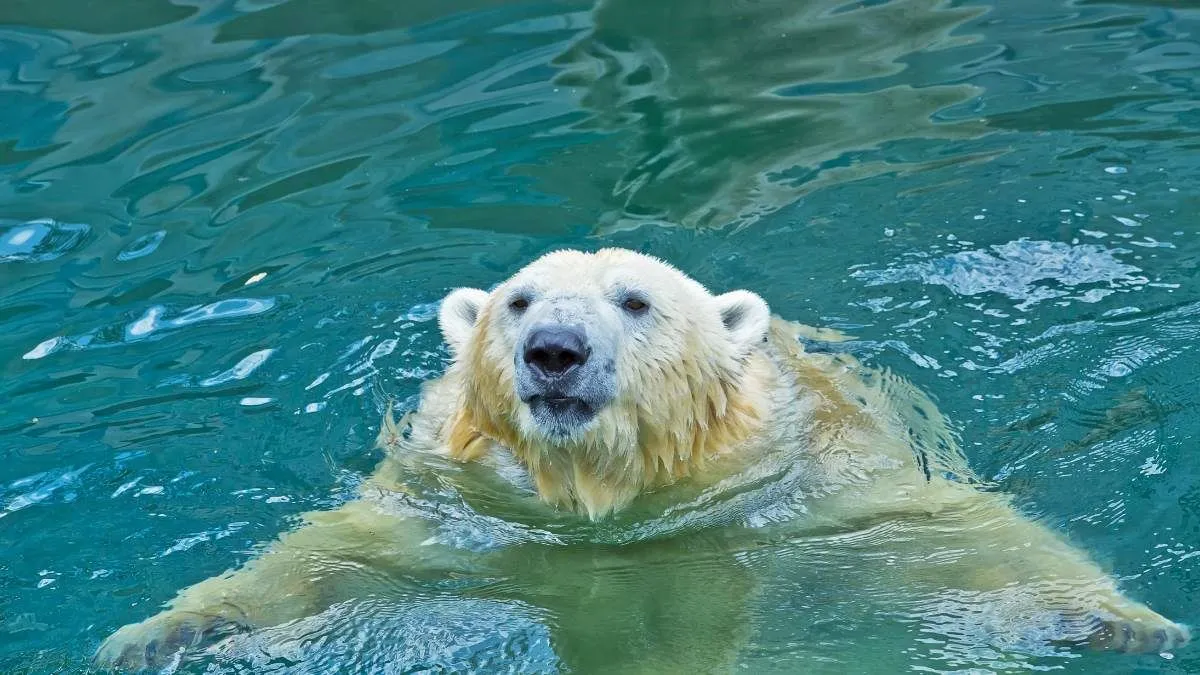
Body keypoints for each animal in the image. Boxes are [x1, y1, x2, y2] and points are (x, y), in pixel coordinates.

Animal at [95, 248, 1189, 672]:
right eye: (519, 301)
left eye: (635, 300)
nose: (554, 351)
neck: (613, 502)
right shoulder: (461, 503)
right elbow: (331, 556)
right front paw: (156, 633)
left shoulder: (805, 486)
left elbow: (948, 531)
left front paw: (1126, 621)